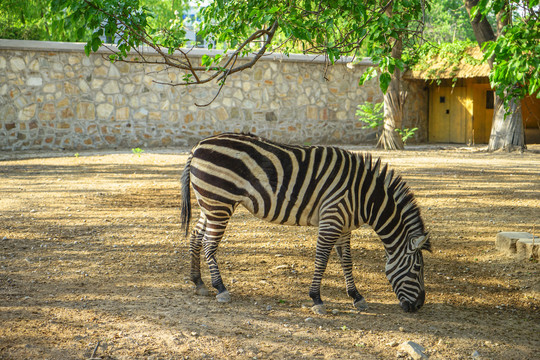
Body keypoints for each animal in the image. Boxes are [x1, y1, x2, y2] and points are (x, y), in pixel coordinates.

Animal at [181, 132, 430, 312]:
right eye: (418, 268)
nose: (418, 306)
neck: (364, 196)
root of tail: (198, 145)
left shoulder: (344, 226)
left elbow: (346, 261)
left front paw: (356, 296)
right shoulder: (332, 218)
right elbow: (322, 258)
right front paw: (317, 298)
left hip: (209, 204)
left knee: (196, 236)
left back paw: (198, 282)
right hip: (219, 202)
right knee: (209, 244)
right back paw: (220, 288)